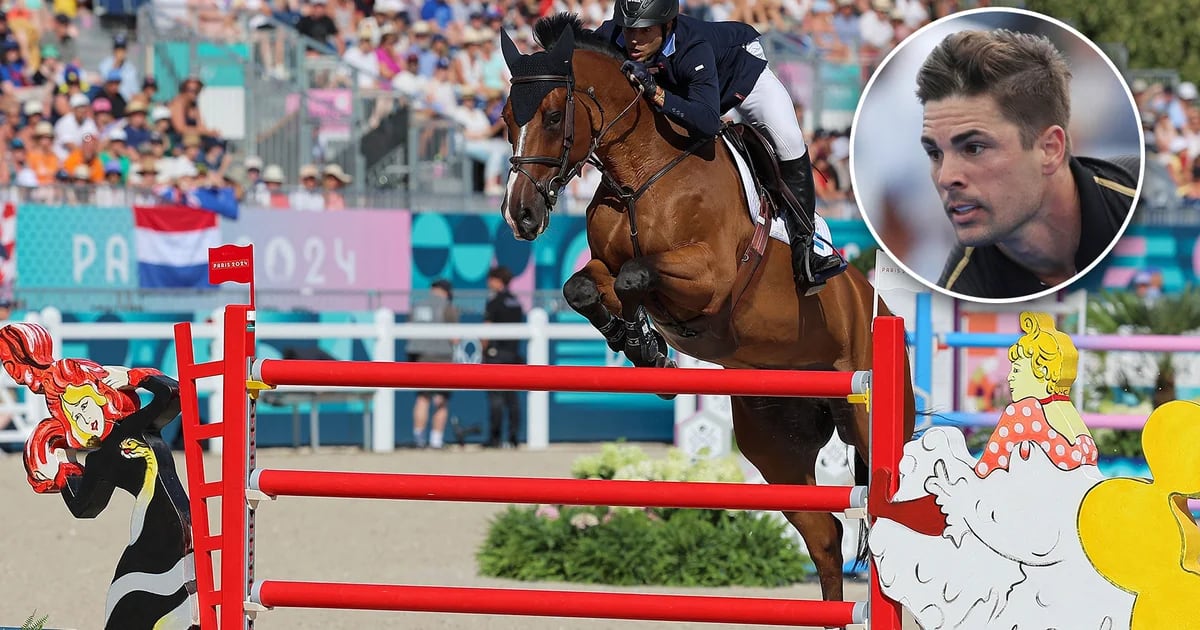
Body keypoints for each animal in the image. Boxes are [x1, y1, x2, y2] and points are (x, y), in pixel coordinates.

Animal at [499, 14, 916, 604]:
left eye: (555, 116)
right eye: (506, 118)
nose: (522, 216)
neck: (643, 172)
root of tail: (876, 304)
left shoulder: (710, 278)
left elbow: (636, 276)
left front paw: (648, 344)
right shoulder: (604, 265)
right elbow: (584, 288)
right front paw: (644, 348)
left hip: (867, 413)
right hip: (776, 444)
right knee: (825, 535)